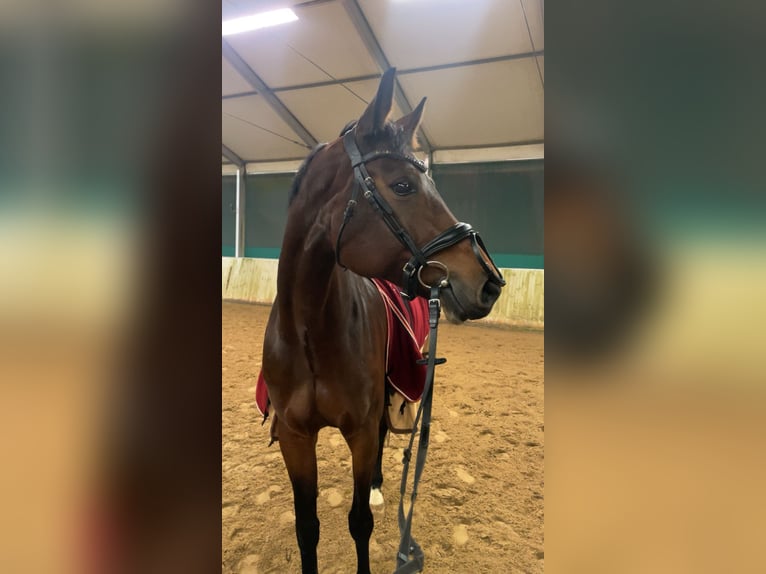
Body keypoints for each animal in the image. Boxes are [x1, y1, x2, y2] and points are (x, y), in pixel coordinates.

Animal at [261, 68, 505, 574]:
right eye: (403, 186)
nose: (490, 282)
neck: (309, 333)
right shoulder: (295, 438)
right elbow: (306, 527)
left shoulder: (357, 428)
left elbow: (359, 522)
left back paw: (374, 484)